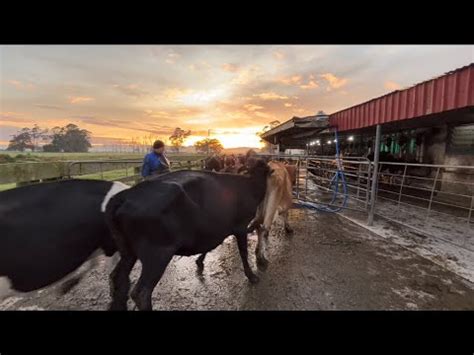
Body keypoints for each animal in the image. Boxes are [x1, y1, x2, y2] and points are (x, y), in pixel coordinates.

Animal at [104, 160, 270, 310]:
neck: (249, 184)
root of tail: (125, 195)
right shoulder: (240, 226)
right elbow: (243, 252)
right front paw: (252, 276)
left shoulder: (217, 228)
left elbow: (212, 245)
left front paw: (200, 261)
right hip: (157, 253)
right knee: (141, 293)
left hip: (128, 251)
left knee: (117, 278)